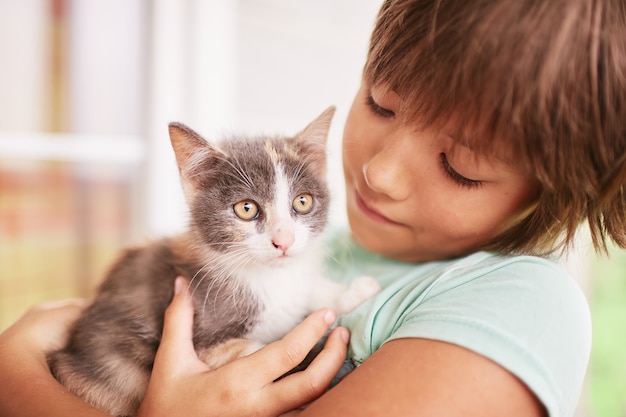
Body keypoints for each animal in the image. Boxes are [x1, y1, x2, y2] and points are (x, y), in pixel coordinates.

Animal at [46, 106, 378, 416]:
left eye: (303, 202)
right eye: (246, 208)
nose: (284, 241)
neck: (267, 277)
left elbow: (307, 290)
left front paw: (353, 291)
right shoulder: (208, 339)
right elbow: (261, 353)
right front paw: (324, 356)